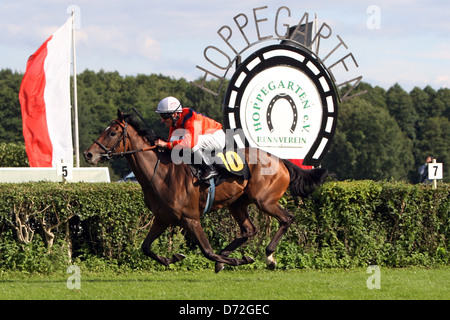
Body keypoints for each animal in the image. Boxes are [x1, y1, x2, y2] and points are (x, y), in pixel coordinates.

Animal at [83, 110, 326, 272]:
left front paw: (239, 260)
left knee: (287, 218)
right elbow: (146, 247)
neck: (161, 173)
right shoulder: (162, 218)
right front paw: (173, 258)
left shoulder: (190, 218)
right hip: (237, 203)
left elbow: (207, 251)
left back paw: (269, 257)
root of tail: (281, 160)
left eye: (112, 133)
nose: (88, 154)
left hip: (264, 200)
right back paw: (226, 258)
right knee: (249, 230)